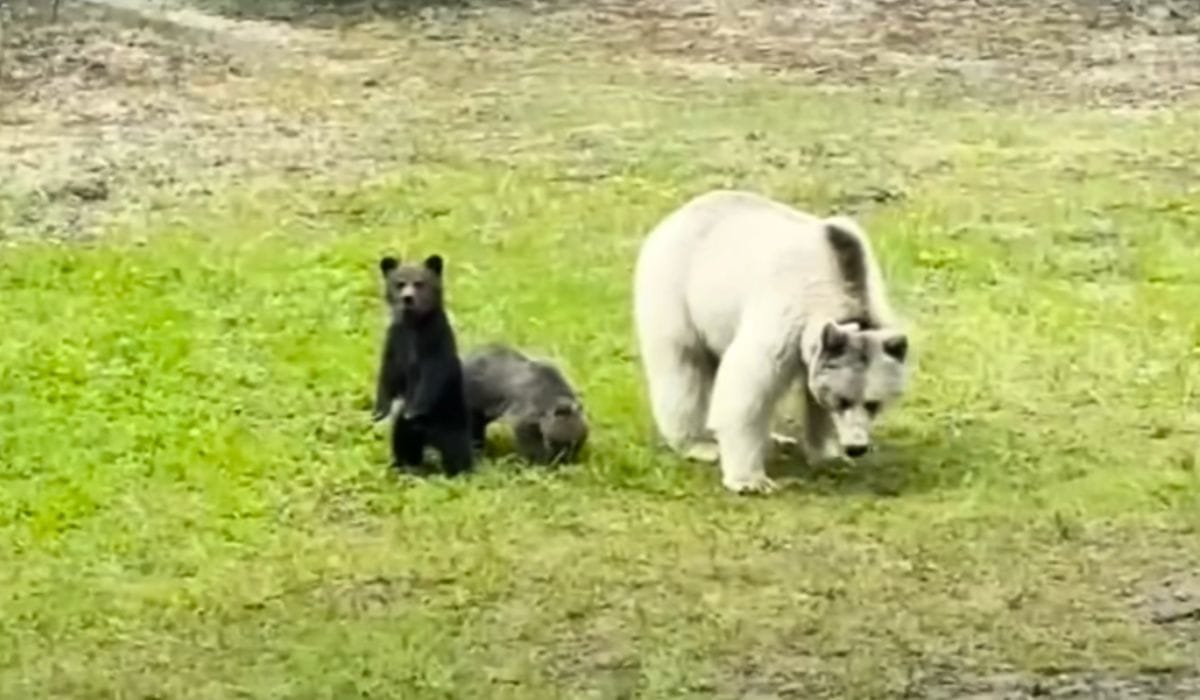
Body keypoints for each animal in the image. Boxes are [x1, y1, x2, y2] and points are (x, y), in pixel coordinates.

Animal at [371, 253, 473, 477]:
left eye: (420, 283)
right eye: (399, 283)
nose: (408, 298)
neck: (414, 326)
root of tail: (429, 440)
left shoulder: (434, 343)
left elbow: (431, 376)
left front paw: (413, 409)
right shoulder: (395, 342)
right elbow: (387, 376)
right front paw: (379, 412)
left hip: (451, 420)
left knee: (457, 449)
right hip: (405, 432)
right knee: (403, 444)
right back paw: (403, 465)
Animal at [631, 189, 910, 494]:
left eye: (873, 403)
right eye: (842, 400)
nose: (856, 447)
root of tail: (676, 216)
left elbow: (812, 393)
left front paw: (828, 453)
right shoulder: (786, 313)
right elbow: (747, 386)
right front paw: (750, 481)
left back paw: (775, 438)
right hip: (677, 294)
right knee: (683, 367)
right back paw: (698, 444)